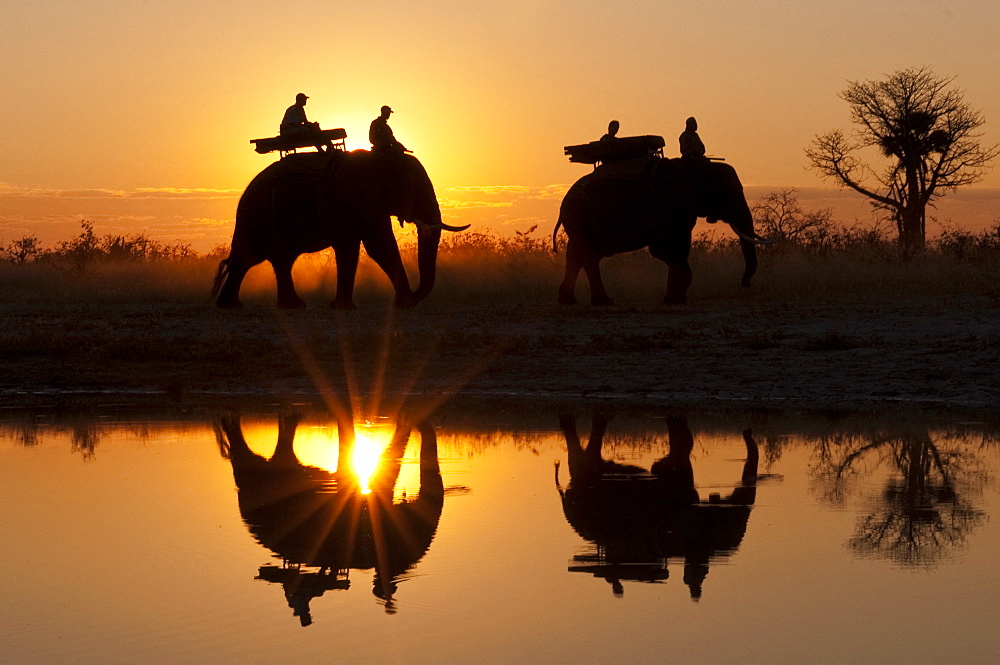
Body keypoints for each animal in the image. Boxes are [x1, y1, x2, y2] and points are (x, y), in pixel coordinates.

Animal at [212, 148, 468, 308]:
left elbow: (379, 247)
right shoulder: (343, 203)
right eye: (412, 189)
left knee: (277, 260)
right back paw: (235, 307)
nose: (414, 296)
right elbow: (356, 247)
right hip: (255, 215)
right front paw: (345, 308)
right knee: (250, 258)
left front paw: (402, 304)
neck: (375, 159)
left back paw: (284, 307)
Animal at [552, 158, 768, 306]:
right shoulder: (671, 207)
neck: (696, 166)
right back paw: (591, 302)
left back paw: (586, 301)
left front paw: (673, 299)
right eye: (728, 192)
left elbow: (677, 249)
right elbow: (664, 251)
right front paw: (674, 299)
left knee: (583, 255)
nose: (746, 284)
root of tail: (564, 203)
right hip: (580, 216)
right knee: (584, 254)